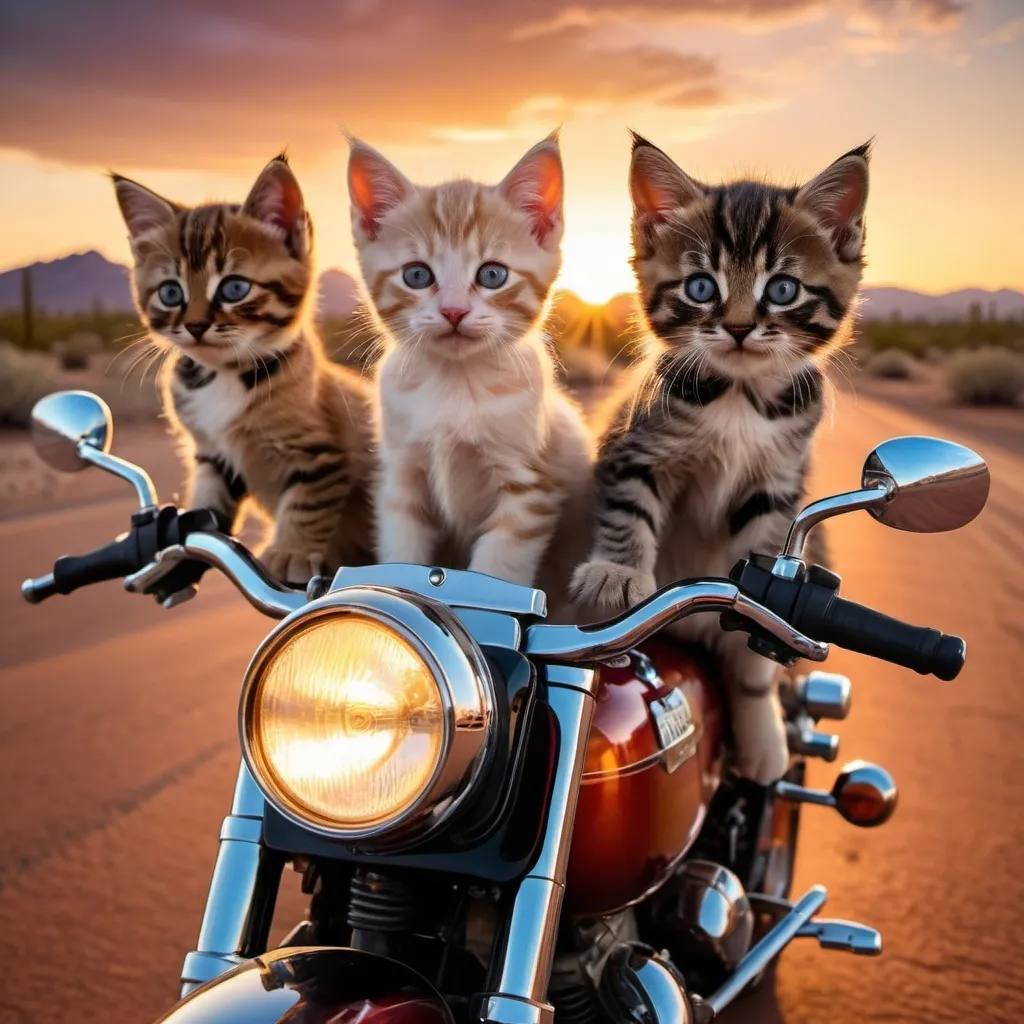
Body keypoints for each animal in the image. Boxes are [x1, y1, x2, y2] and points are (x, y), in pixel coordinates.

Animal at [113, 152, 376, 585]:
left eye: (234, 288)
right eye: (170, 292)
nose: (196, 325)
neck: (223, 375)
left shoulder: (321, 458)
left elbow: (307, 505)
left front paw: (291, 551)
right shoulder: (212, 453)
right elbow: (207, 502)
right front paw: (176, 545)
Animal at [350, 136, 598, 614]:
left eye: (492, 274)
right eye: (417, 275)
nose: (453, 311)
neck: (454, 384)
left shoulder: (529, 491)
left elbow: (496, 575)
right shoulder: (402, 478)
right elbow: (400, 557)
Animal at [573, 132, 868, 778]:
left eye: (781, 290)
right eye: (700, 287)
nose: (736, 327)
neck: (739, 397)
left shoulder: (776, 488)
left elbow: (761, 623)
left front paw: (763, 733)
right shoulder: (637, 446)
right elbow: (627, 511)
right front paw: (618, 572)